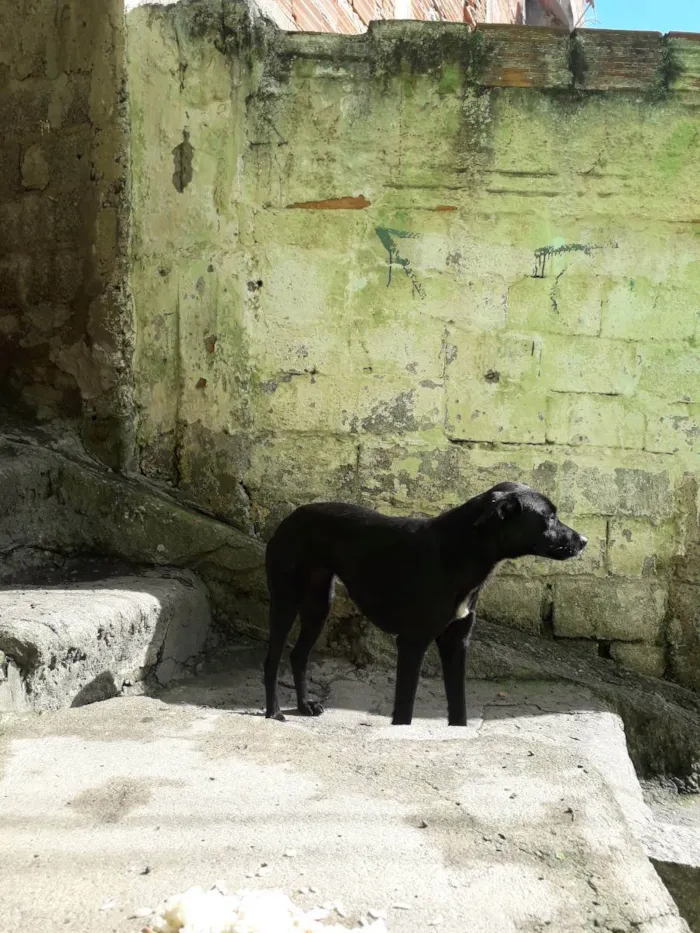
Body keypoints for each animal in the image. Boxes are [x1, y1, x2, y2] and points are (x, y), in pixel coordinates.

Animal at [262, 484, 584, 724]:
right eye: (549, 518)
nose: (585, 541)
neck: (461, 549)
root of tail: (292, 516)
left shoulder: (457, 642)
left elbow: (459, 705)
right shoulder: (412, 644)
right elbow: (405, 708)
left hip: (318, 605)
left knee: (298, 656)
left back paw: (304, 705)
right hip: (285, 601)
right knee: (272, 658)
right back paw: (274, 711)